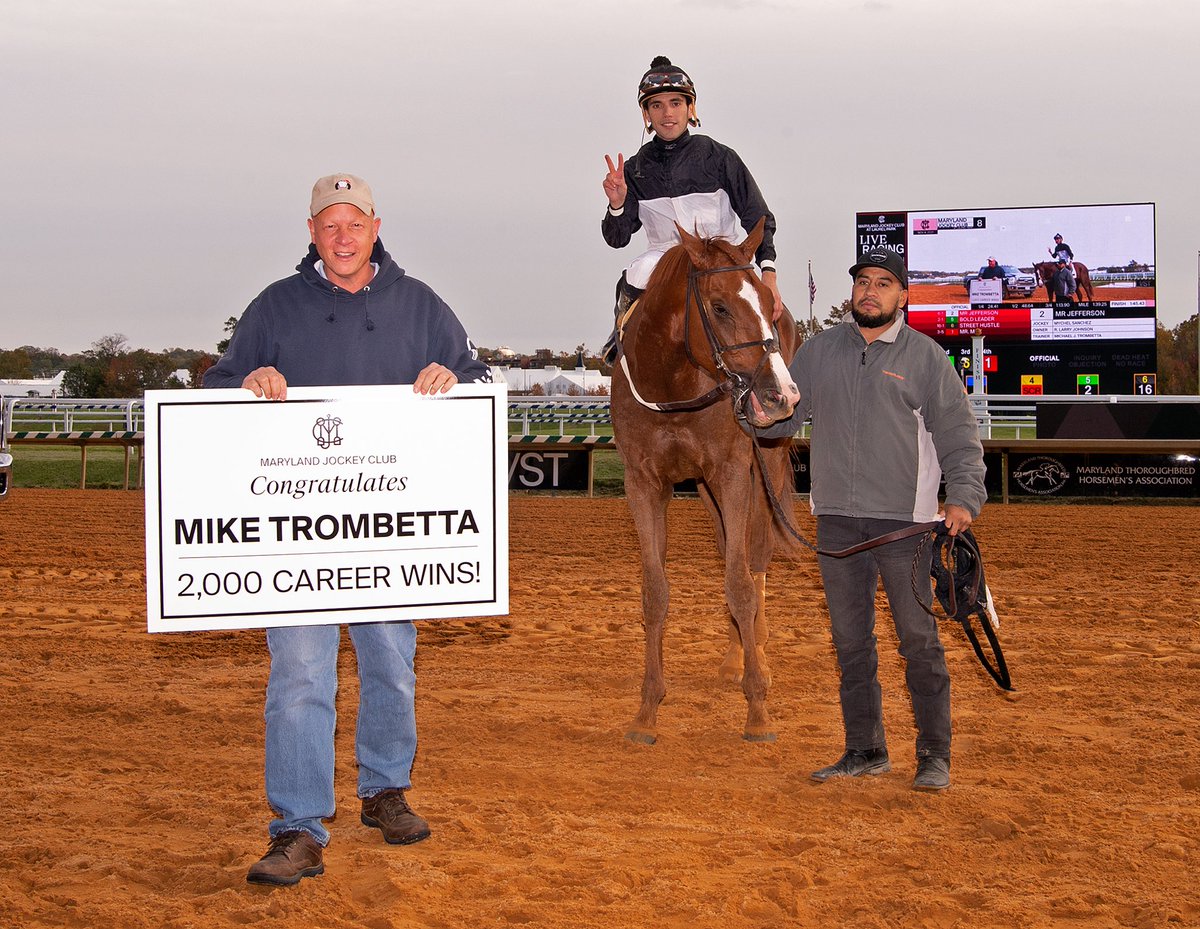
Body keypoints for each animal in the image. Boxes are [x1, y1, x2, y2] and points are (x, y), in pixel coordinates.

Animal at [614, 222, 801, 744]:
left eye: (765, 301)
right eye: (719, 307)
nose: (782, 394)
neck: (672, 384)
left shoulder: (733, 471)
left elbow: (740, 583)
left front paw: (757, 710)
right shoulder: (643, 483)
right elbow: (655, 592)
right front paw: (647, 710)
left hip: (764, 468)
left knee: (755, 557)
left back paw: (757, 654)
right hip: (705, 489)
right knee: (729, 550)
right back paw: (736, 656)